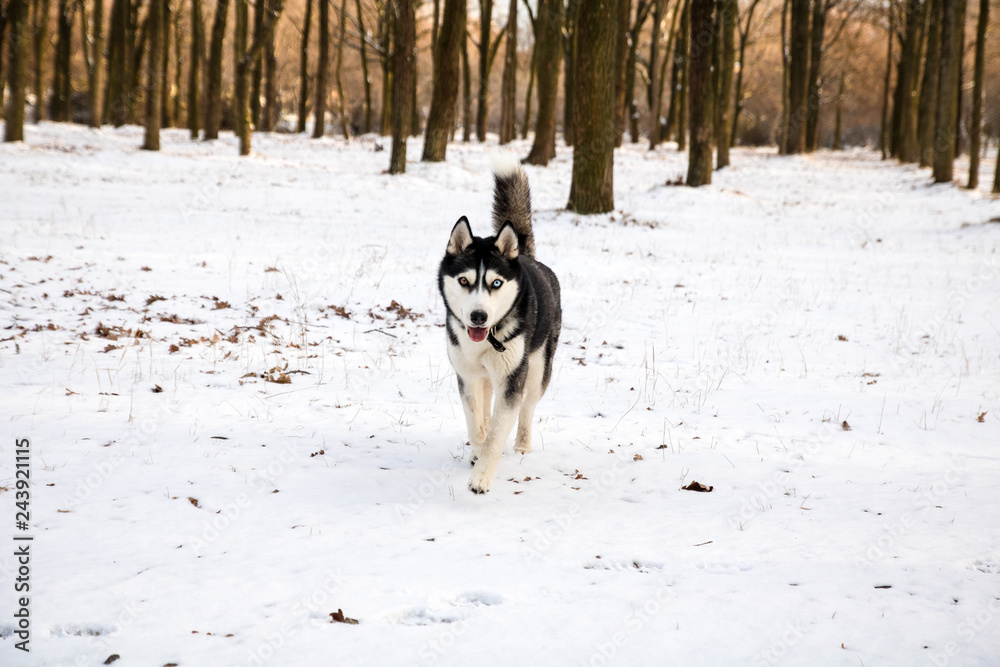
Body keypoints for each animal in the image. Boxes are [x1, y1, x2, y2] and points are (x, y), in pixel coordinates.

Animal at [438, 160, 564, 496]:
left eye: (495, 283)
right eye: (464, 280)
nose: (479, 316)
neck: (486, 339)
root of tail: (526, 257)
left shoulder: (511, 378)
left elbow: (498, 431)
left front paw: (481, 477)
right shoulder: (467, 374)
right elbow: (475, 420)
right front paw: (477, 451)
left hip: (537, 369)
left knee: (527, 408)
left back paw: (522, 446)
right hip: (485, 376)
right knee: (485, 404)